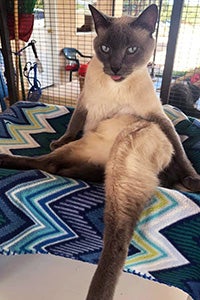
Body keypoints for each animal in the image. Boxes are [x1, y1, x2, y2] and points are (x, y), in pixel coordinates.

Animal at [0, 3, 199, 298]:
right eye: (105, 48)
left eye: (131, 50)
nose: (115, 67)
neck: (115, 86)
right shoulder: (85, 104)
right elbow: (73, 123)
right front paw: (58, 139)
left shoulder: (155, 115)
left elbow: (182, 152)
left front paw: (192, 178)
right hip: (92, 149)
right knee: (50, 163)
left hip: (124, 157)